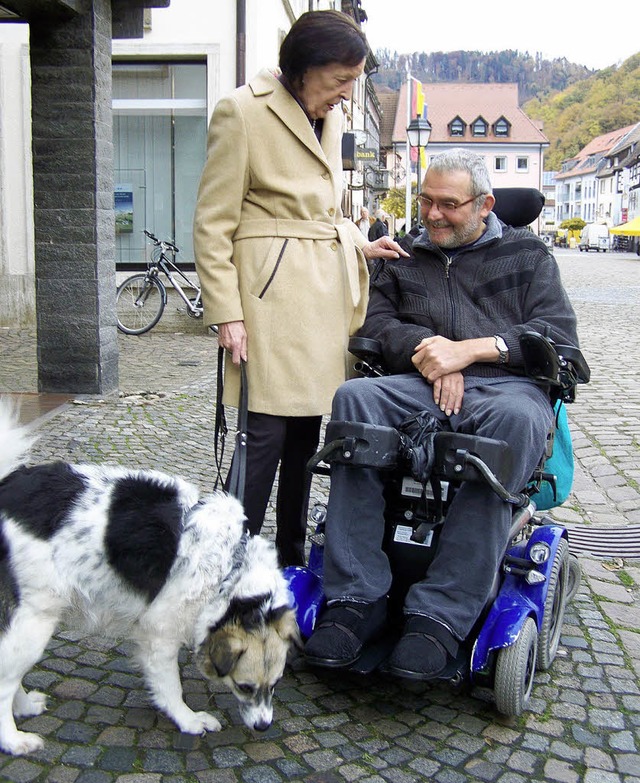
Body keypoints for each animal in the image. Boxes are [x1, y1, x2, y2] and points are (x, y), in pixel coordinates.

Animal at [0, 402, 298, 756]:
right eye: (245, 686)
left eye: (276, 685)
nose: (264, 726)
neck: (228, 571)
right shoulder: (159, 633)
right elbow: (170, 687)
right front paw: (188, 720)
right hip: (35, 618)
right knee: (3, 682)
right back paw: (14, 739)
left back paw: (24, 707)